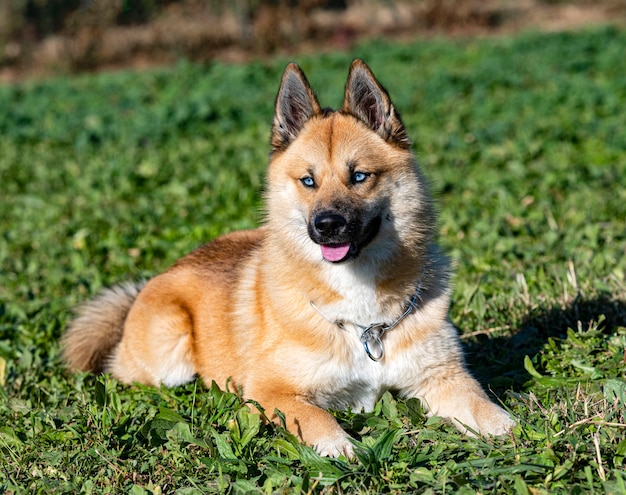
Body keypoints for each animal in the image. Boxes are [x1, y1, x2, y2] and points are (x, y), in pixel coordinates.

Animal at [62, 60, 512, 460]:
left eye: (359, 176)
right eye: (308, 181)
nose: (327, 225)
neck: (364, 320)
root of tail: (155, 279)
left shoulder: (442, 377)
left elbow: (483, 407)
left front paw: (510, 429)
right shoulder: (270, 392)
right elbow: (315, 418)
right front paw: (339, 447)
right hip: (168, 355)